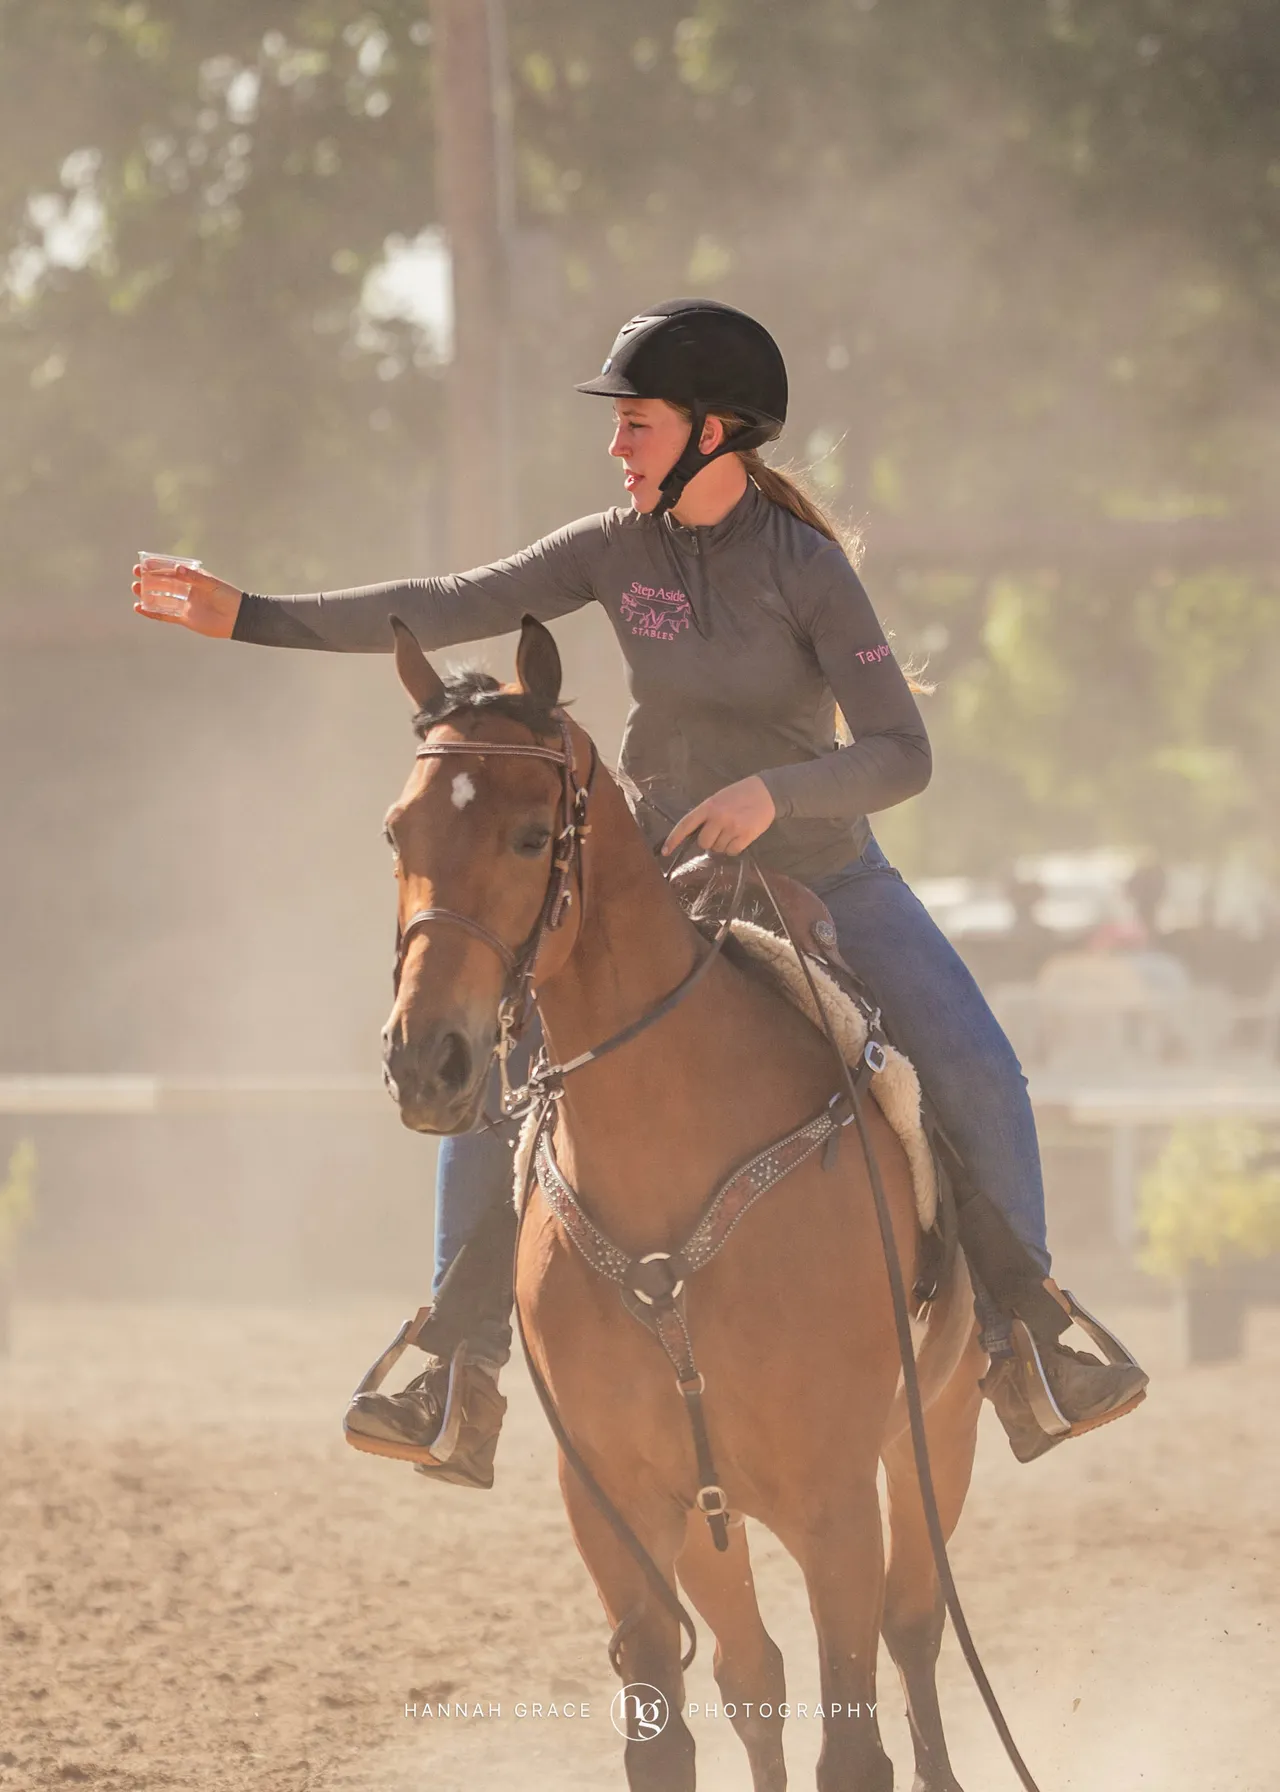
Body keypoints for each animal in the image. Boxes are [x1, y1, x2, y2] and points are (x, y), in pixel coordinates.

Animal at [379, 614, 985, 1792]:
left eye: (532, 836)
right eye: (396, 832)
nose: (427, 1061)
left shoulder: (836, 1501)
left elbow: (856, 1740)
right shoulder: (615, 1507)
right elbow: (665, 1735)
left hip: (935, 1433)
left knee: (914, 1634)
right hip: (713, 1515)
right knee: (755, 1675)